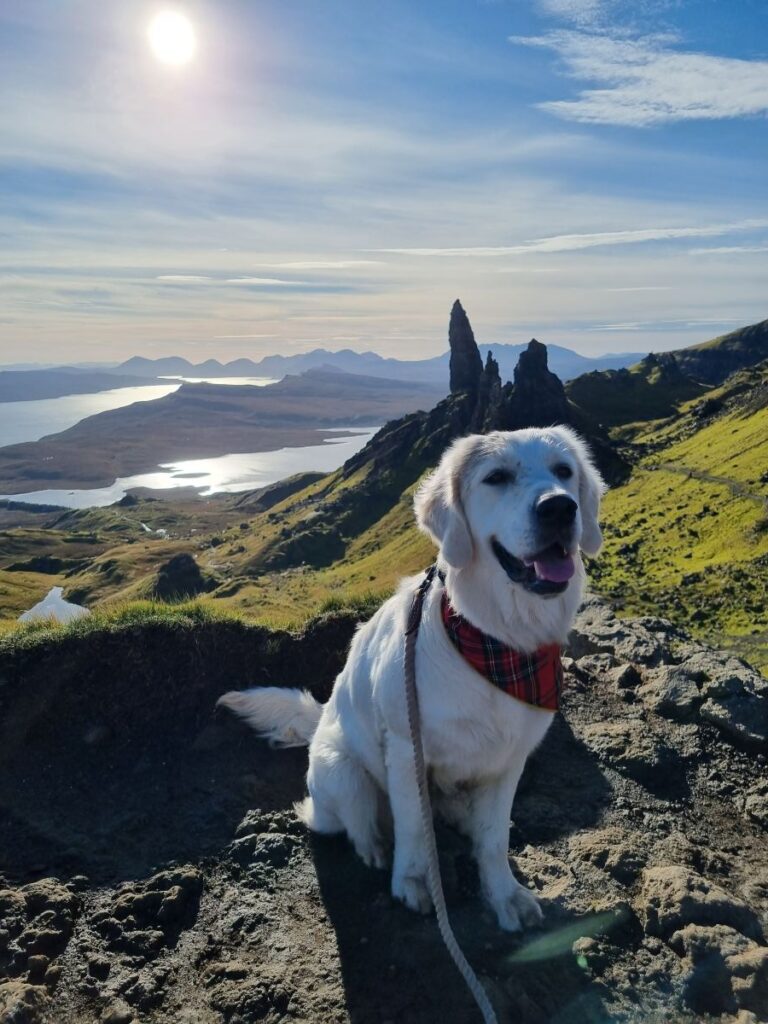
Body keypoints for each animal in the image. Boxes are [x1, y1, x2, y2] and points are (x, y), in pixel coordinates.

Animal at [219, 428, 606, 933]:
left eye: (564, 471)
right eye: (496, 477)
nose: (559, 508)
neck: (497, 641)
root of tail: (320, 718)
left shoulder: (509, 757)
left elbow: (493, 839)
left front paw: (503, 894)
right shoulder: (406, 750)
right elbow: (413, 827)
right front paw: (414, 880)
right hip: (341, 771)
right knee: (349, 818)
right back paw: (373, 847)